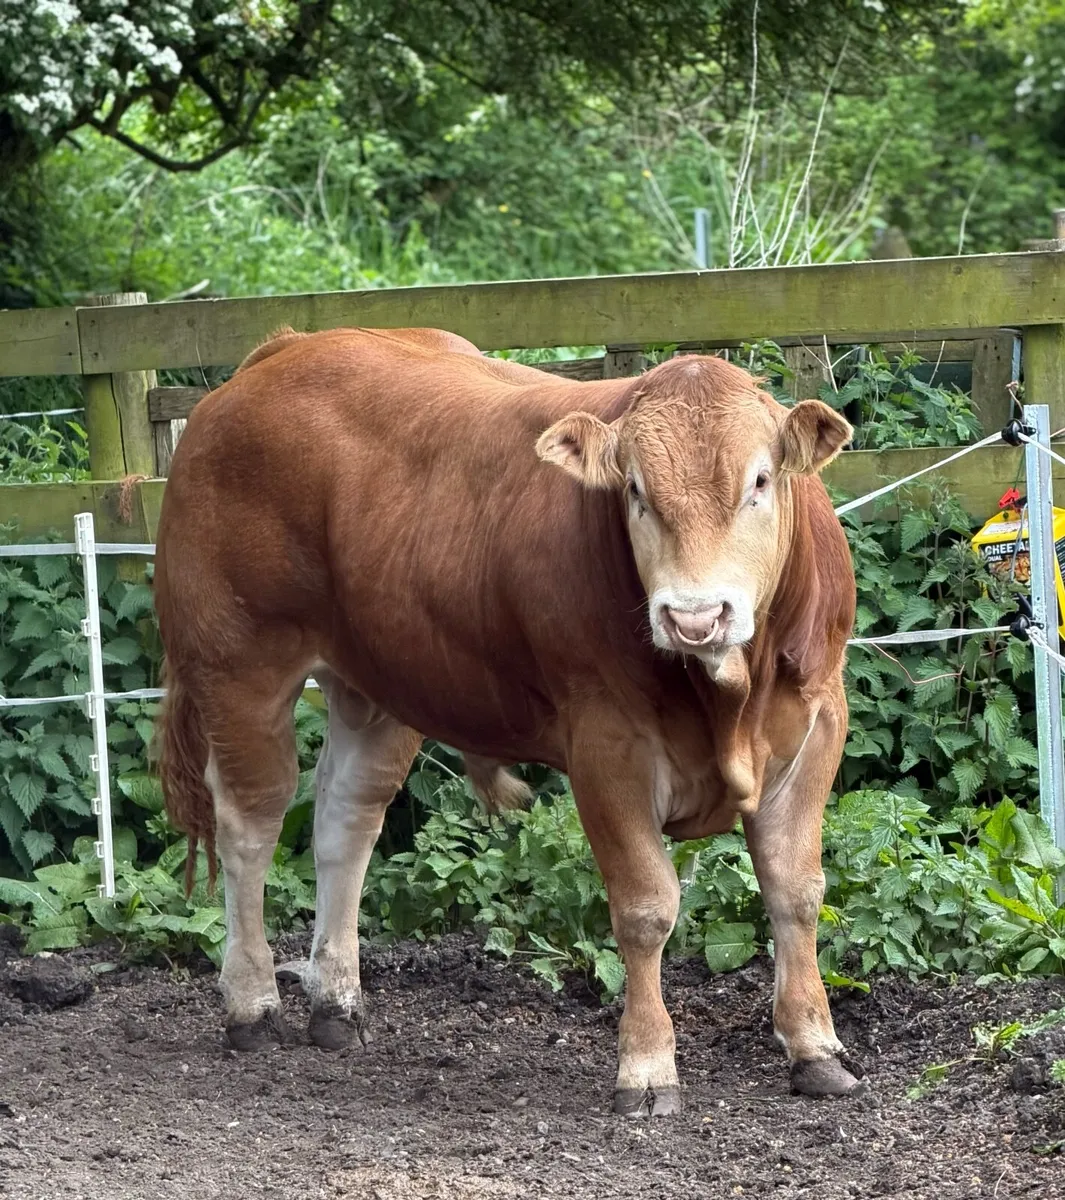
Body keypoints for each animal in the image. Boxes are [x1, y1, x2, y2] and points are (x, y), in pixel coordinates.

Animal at [154, 325, 860, 1116]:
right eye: (635, 491)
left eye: (760, 482)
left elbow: (796, 891)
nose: (694, 616)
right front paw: (647, 1067)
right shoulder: (605, 743)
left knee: (346, 818)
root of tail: (282, 349)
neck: (730, 696)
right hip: (239, 666)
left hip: (378, 683)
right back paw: (250, 1003)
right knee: (250, 826)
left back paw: (336, 1003)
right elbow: (645, 908)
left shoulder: (818, 722)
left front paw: (814, 1046)